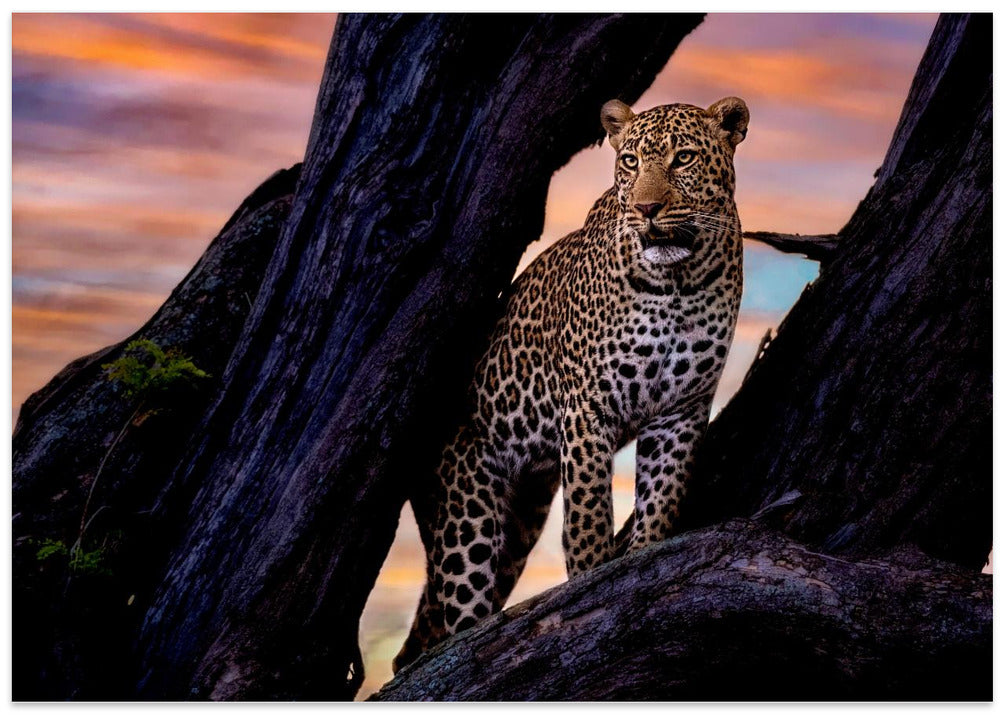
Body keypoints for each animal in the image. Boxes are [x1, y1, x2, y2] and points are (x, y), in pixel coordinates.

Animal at [393, 96, 749, 673]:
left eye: (684, 158)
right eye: (629, 161)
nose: (648, 209)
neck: (678, 284)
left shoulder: (682, 410)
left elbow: (662, 499)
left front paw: (641, 561)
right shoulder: (587, 406)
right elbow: (587, 515)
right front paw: (589, 585)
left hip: (519, 522)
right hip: (464, 507)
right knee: (459, 611)